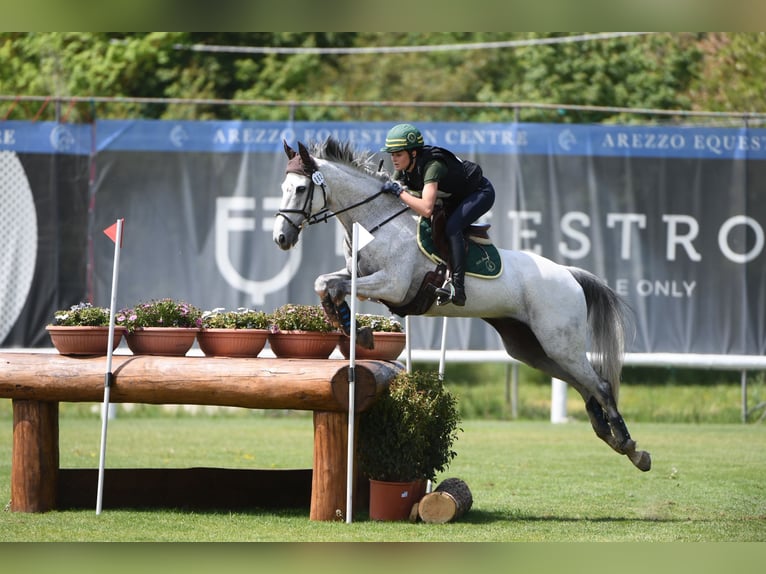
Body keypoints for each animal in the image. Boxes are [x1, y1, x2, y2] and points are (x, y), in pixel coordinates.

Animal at [273, 137, 651, 472]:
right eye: (283, 187)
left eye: (301, 189)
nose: (281, 239)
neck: (378, 222)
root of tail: (570, 274)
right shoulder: (359, 274)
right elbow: (325, 283)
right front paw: (353, 328)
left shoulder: (393, 285)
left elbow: (338, 286)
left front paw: (356, 329)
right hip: (530, 347)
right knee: (583, 384)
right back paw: (614, 438)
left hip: (559, 342)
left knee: (600, 384)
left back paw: (630, 446)